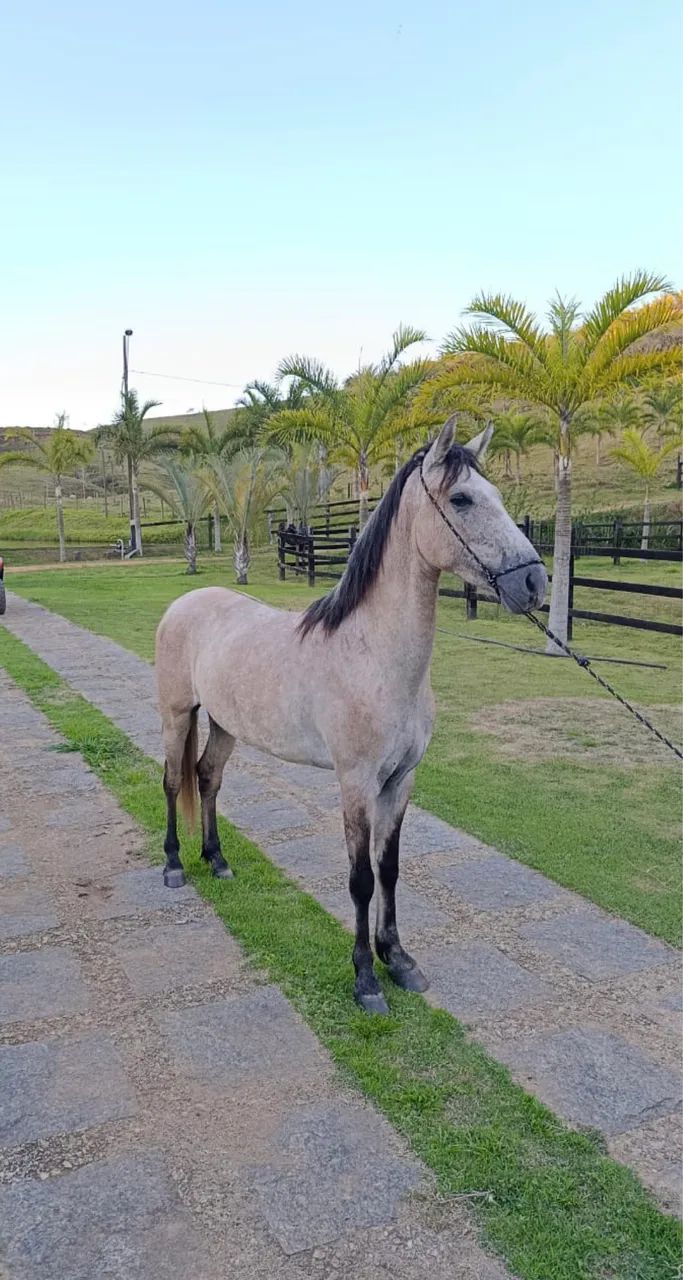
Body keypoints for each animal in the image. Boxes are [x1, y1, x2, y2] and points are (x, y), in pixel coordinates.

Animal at [155, 416, 547, 1013]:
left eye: (499, 496)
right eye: (461, 499)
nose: (534, 583)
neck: (373, 655)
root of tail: (184, 603)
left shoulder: (401, 780)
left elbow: (389, 868)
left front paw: (399, 959)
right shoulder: (356, 782)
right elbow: (360, 878)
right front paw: (366, 978)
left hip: (224, 724)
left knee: (208, 778)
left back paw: (217, 860)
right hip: (178, 715)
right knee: (175, 780)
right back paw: (175, 864)